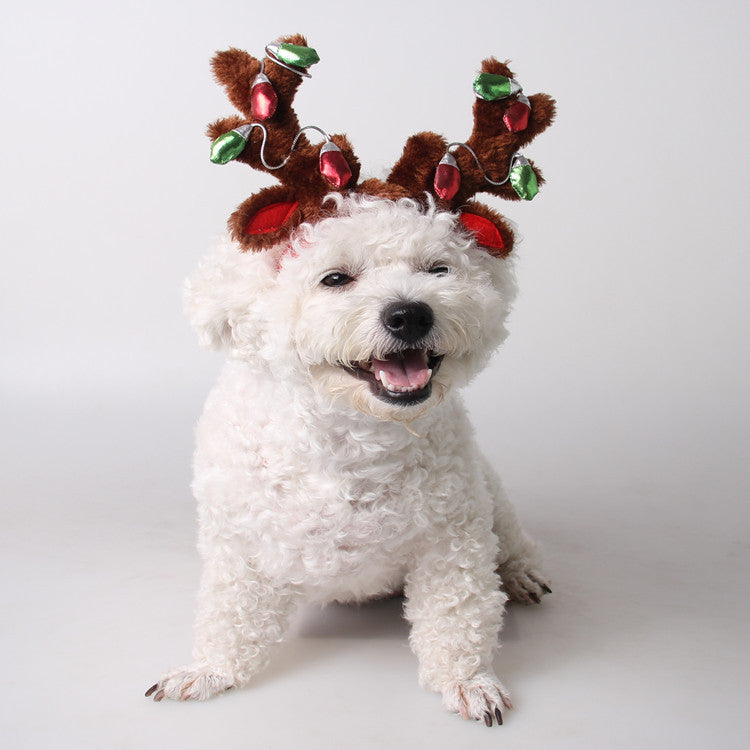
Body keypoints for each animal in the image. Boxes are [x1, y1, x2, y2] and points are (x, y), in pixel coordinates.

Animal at [147, 195, 552, 728]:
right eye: (335, 278)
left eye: (438, 269)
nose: (410, 314)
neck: (350, 439)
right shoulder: (239, 544)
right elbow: (231, 613)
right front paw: (213, 668)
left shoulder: (453, 543)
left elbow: (457, 616)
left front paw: (468, 679)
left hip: (489, 497)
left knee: (509, 536)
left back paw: (521, 571)